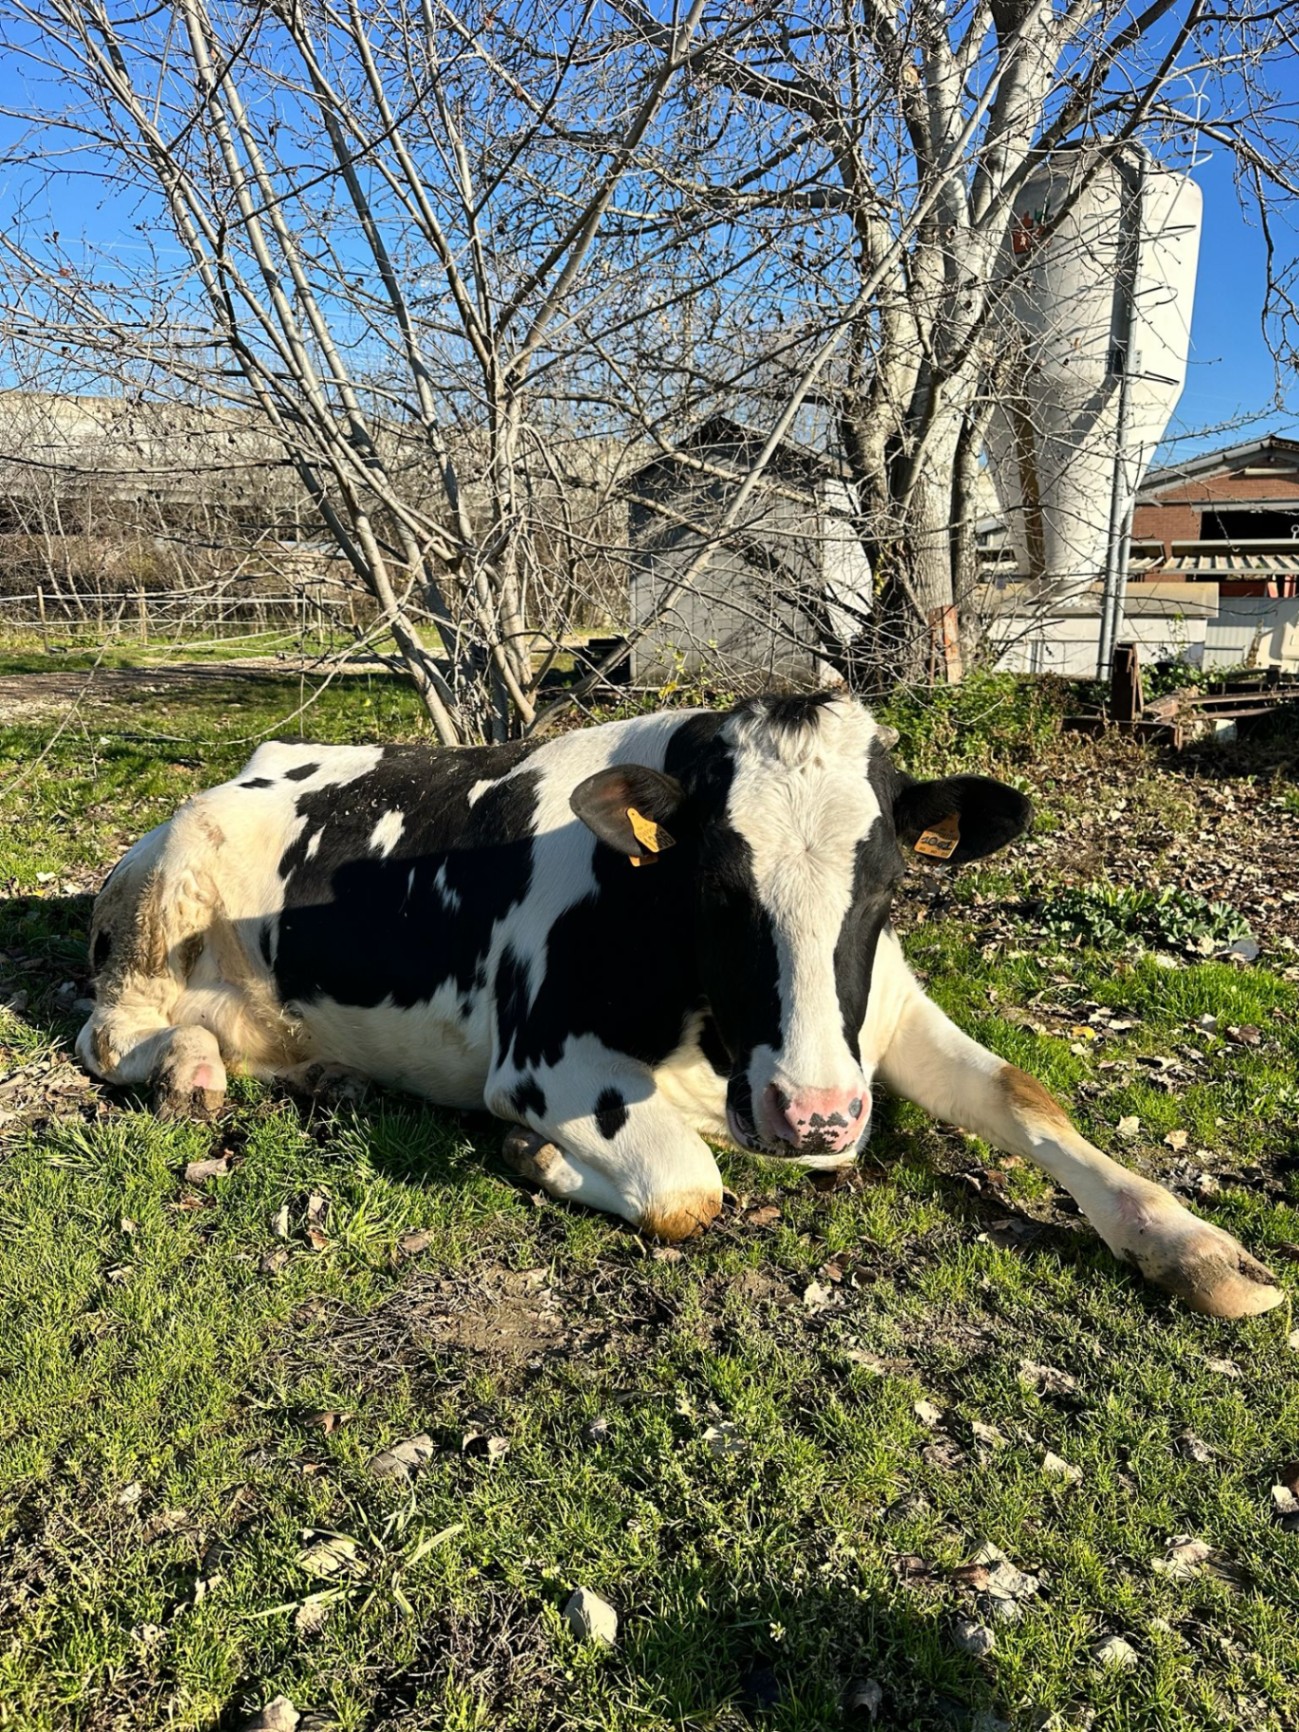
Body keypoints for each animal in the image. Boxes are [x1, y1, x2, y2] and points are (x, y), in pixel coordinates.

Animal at [76, 690, 1282, 1321]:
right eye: (716, 888)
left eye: (887, 887)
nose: (816, 1114)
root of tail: (264, 755)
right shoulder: (548, 1058)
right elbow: (691, 1189)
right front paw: (542, 1157)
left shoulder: (881, 1018)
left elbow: (1029, 1098)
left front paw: (1193, 1243)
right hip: (162, 886)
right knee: (111, 1028)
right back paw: (188, 1068)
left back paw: (321, 1069)